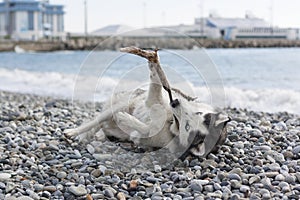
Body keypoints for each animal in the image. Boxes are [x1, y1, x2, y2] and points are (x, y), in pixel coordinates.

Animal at [65, 46, 230, 159]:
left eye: (187, 126)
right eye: (198, 112)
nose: (175, 102)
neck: (170, 122)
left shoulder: (147, 137)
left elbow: (145, 129)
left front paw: (126, 119)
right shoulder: (153, 100)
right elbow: (156, 87)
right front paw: (153, 62)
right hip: (120, 104)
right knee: (95, 121)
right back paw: (76, 132)